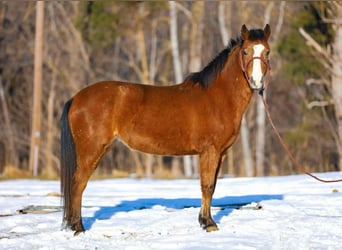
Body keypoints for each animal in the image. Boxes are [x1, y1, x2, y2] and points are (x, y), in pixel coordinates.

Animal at [60, 23, 270, 234]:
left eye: (267, 51)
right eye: (245, 51)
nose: (256, 82)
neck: (217, 97)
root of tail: (76, 98)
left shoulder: (221, 153)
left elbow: (213, 186)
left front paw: (205, 220)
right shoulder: (210, 151)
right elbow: (207, 186)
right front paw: (209, 224)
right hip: (92, 150)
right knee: (78, 183)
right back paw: (78, 227)